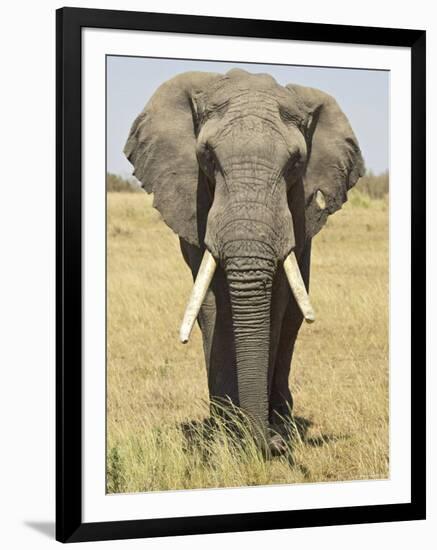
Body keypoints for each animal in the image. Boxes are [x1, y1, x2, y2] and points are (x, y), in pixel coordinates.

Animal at [123, 68, 364, 458]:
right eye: (206, 156)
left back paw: (281, 418)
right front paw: (227, 433)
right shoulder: (196, 202)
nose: (274, 446)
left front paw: (260, 432)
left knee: (293, 318)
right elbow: (211, 303)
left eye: (295, 162)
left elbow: (276, 302)